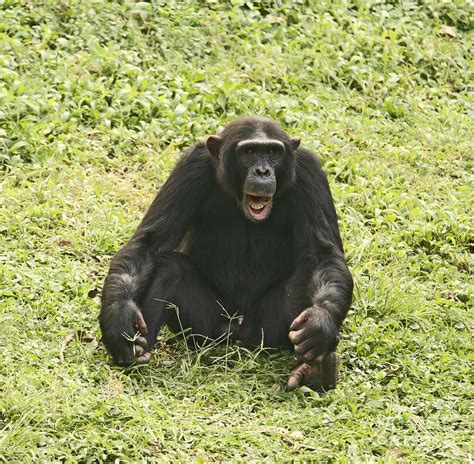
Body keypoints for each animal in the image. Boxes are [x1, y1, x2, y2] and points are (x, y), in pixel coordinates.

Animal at [99, 114, 352, 390]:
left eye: (272, 152)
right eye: (249, 152)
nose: (262, 171)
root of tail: (240, 331)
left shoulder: (310, 172)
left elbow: (322, 255)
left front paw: (320, 323)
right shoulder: (191, 166)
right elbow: (151, 242)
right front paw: (119, 320)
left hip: (266, 330)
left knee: (306, 274)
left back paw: (316, 370)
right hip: (209, 326)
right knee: (170, 270)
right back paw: (138, 355)